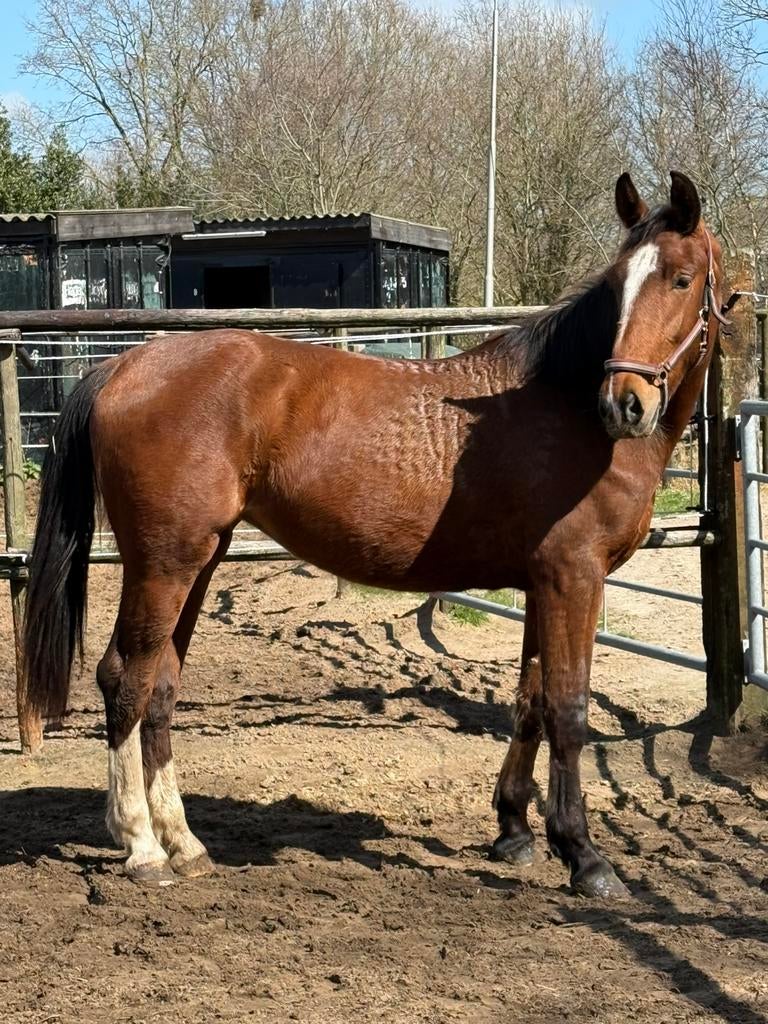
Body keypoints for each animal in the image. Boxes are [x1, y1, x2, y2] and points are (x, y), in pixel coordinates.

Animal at [22, 171, 725, 898]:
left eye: (681, 279)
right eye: (621, 282)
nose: (625, 403)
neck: (562, 406)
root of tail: (124, 366)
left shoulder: (542, 584)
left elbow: (529, 699)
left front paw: (514, 831)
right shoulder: (573, 577)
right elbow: (568, 707)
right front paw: (584, 855)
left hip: (200, 559)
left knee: (159, 685)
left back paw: (184, 842)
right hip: (163, 562)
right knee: (123, 679)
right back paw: (140, 846)